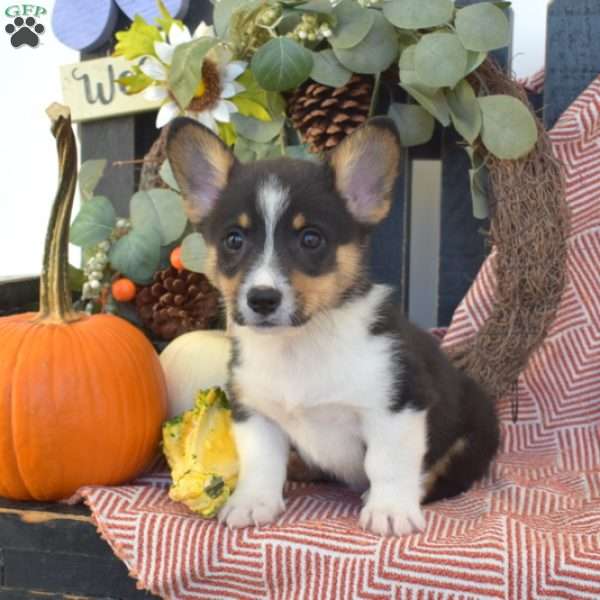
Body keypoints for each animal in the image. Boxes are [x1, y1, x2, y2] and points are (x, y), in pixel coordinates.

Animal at [166, 116, 500, 536]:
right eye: (234, 239)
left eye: (311, 239)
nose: (262, 299)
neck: (298, 344)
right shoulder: (256, 413)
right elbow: (261, 465)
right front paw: (252, 503)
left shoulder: (396, 407)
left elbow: (388, 464)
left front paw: (389, 510)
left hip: (473, 434)